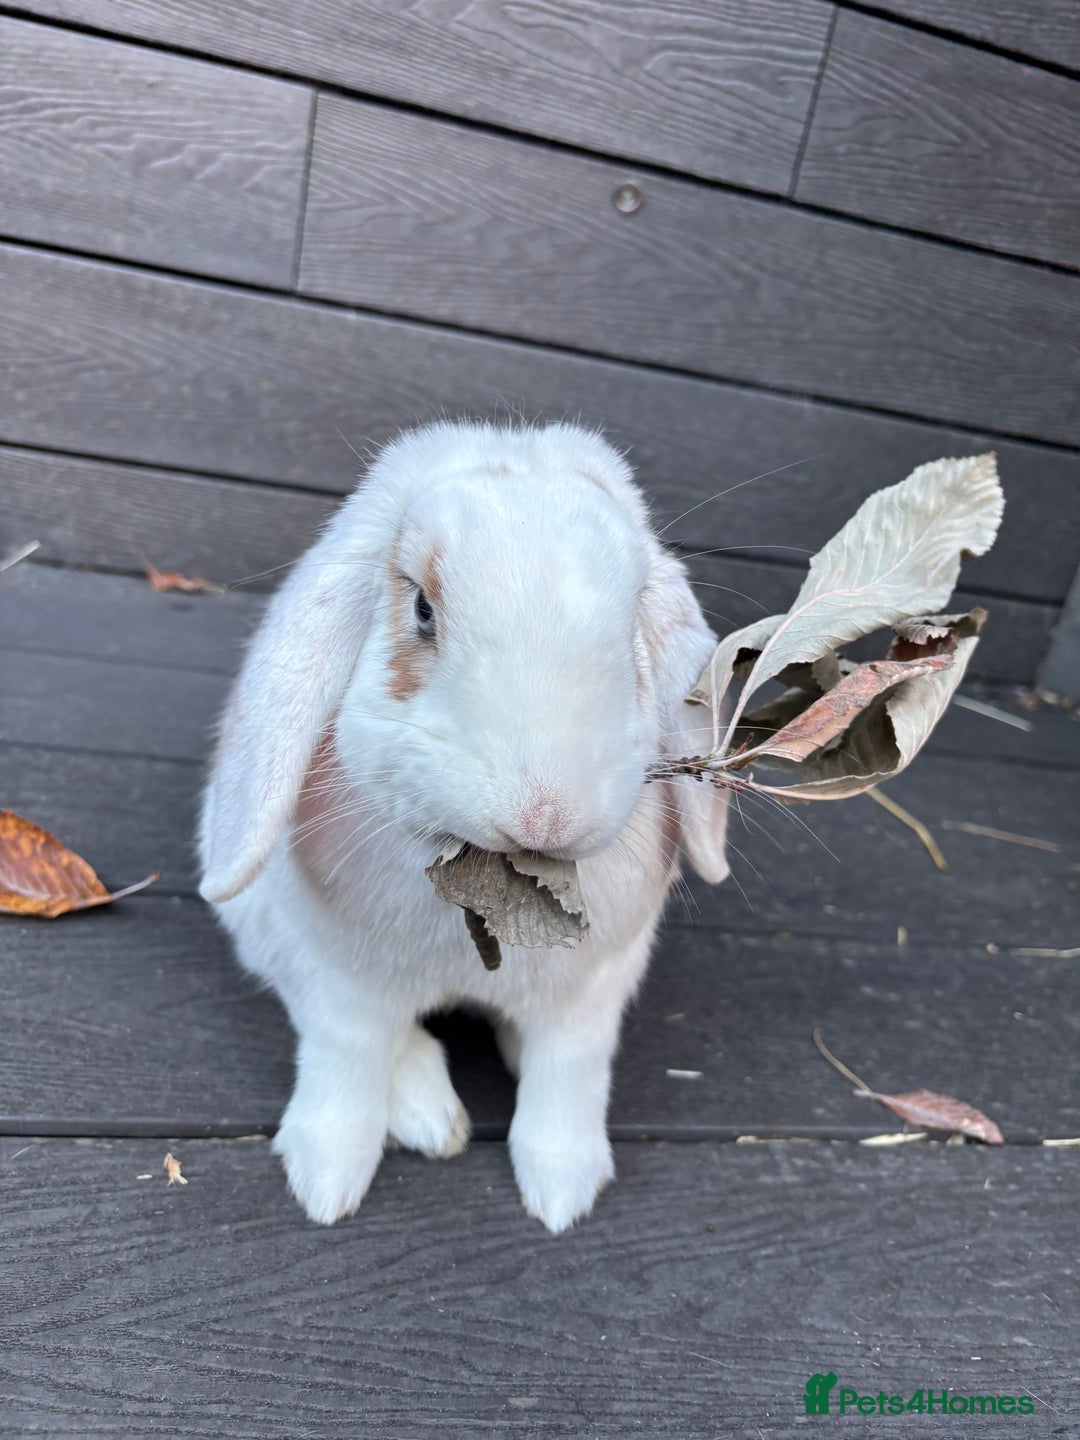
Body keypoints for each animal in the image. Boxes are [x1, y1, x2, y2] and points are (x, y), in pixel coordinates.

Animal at [199, 420, 731, 1232]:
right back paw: (426, 1113)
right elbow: (345, 1058)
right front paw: (327, 1179)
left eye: (633, 620)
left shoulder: (593, 993)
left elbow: (569, 1073)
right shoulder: (341, 982)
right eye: (422, 609)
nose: (546, 810)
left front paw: (561, 1187)